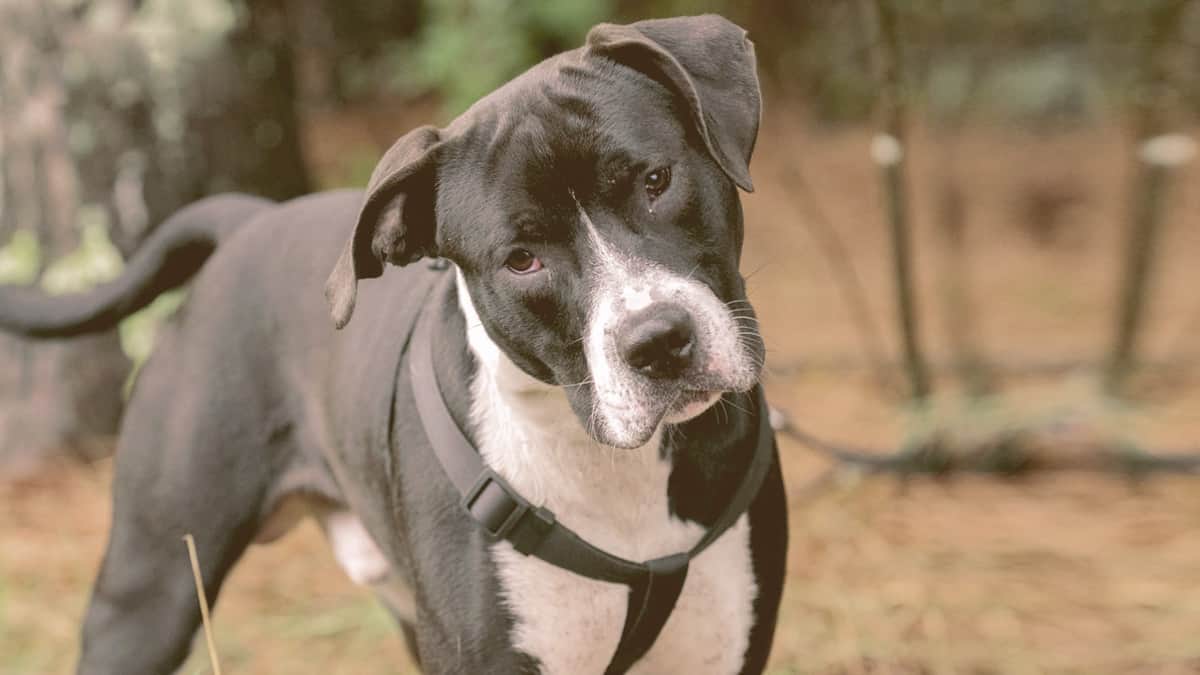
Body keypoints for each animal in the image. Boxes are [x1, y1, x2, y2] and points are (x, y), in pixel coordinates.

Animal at [0, 13, 792, 667]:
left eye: (656, 180)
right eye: (521, 259)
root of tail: (248, 221)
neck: (609, 468)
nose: (656, 341)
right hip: (150, 591)